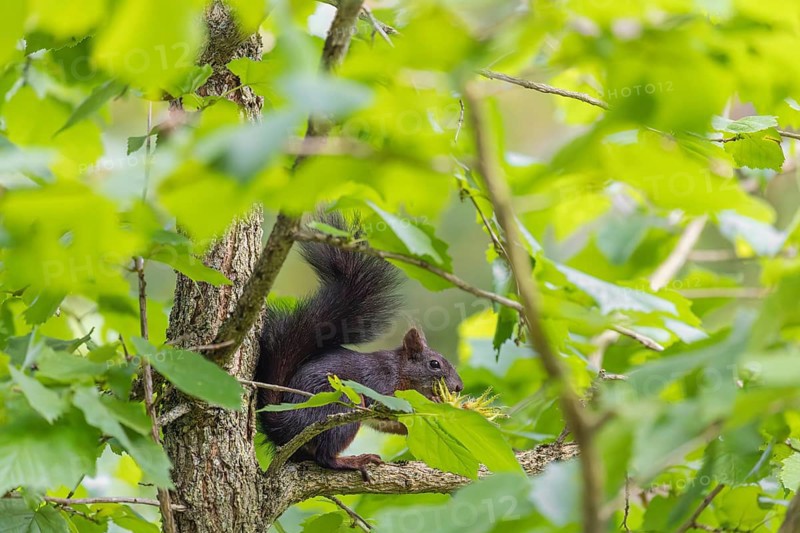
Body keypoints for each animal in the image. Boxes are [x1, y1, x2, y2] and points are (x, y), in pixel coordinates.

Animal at [255, 213, 463, 475]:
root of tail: (286, 425)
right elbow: (386, 406)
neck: (400, 369)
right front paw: (435, 402)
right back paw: (354, 461)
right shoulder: (380, 382)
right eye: (434, 364)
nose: (458, 387)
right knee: (325, 457)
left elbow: (392, 424)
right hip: (341, 403)